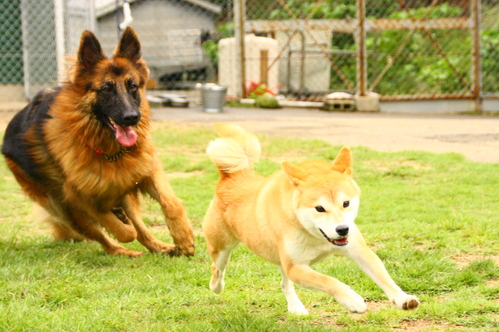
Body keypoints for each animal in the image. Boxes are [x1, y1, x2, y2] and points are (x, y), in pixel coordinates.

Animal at [1, 27, 195, 258]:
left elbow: (170, 203)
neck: (109, 150)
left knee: (140, 227)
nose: (132, 117)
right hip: (65, 209)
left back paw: (161, 246)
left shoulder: (145, 170)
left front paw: (184, 239)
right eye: (106, 89)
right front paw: (122, 226)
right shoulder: (77, 196)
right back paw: (126, 251)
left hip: (122, 184)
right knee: (105, 237)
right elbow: (122, 230)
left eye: (132, 86)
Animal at [202, 124, 418, 314]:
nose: (342, 229)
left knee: (284, 283)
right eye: (319, 208)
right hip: (222, 249)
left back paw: (295, 307)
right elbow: (328, 281)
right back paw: (216, 286)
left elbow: (383, 275)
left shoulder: (357, 250)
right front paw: (352, 300)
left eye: (346, 203)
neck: (316, 236)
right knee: (217, 268)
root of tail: (232, 177)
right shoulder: (296, 267)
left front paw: (402, 298)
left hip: (280, 259)